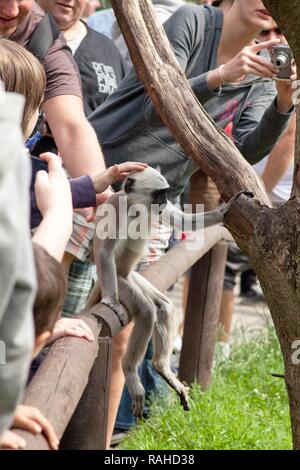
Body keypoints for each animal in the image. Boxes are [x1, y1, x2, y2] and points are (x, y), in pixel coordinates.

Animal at [87, 166, 253, 414]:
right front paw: (110, 301)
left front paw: (226, 208)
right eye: (159, 194)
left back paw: (162, 367)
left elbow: (183, 221)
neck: (135, 206)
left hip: (132, 280)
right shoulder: (116, 207)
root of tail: (119, 277)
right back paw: (130, 370)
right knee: (147, 311)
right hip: (120, 283)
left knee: (163, 306)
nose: (165, 201)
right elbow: (105, 252)